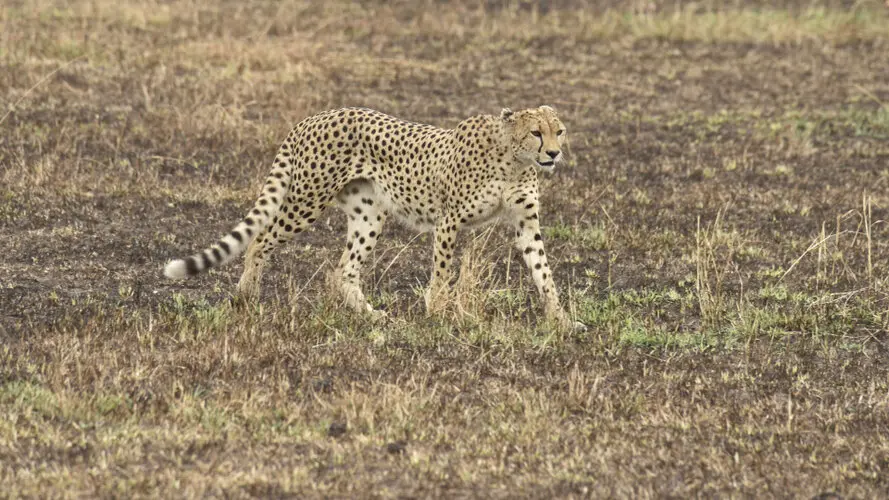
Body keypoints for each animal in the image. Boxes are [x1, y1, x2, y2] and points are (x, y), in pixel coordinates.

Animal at [165, 106, 584, 328]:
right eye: (536, 133)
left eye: (560, 131)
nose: (554, 154)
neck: (512, 159)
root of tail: (314, 116)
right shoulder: (448, 222)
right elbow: (442, 272)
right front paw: (437, 311)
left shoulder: (526, 223)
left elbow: (544, 273)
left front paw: (561, 319)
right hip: (307, 200)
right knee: (260, 239)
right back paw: (246, 296)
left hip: (369, 216)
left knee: (344, 270)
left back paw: (371, 315)